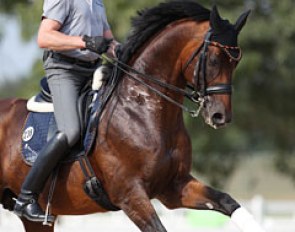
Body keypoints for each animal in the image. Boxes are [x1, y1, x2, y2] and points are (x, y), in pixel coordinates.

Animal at [0, 1, 264, 232]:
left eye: (236, 62)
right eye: (214, 59)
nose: (220, 116)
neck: (141, 111)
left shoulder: (174, 187)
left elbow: (227, 201)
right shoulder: (130, 195)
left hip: (38, 220)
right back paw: (27, 204)